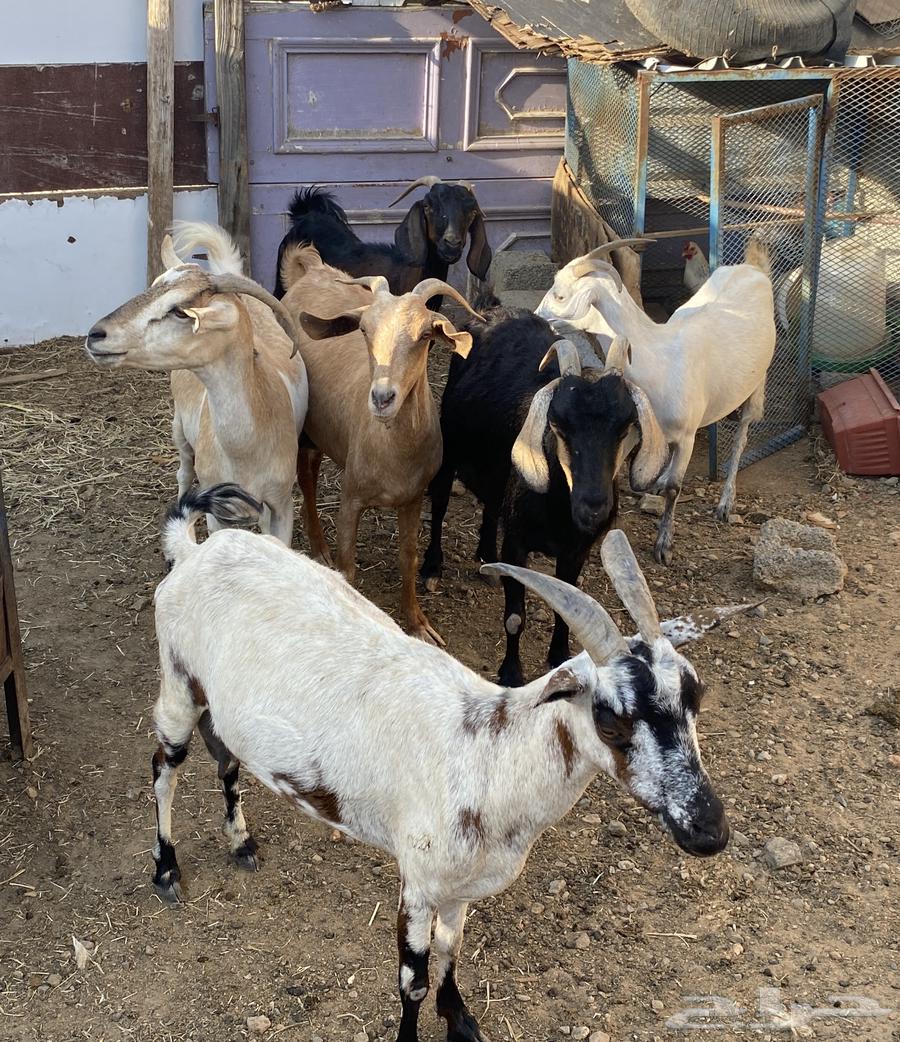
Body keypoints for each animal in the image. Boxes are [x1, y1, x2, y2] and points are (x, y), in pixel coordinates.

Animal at [85, 222, 308, 545]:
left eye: (179, 310)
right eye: (153, 286)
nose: (96, 335)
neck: (245, 448)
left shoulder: (281, 502)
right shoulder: (218, 508)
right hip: (179, 427)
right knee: (183, 473)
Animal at [151, 483, 731, 1042]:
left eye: (695, 695)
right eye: (610, 719)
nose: (710, 829)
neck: (489, 754)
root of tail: (194, 550)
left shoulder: (462, 887)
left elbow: (453, 947)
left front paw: (459, 1018)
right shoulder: (419, 881)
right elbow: (413, 980)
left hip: (220, 707)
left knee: (225, 758)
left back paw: (241, 843)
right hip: (177, 681)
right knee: (164, 767)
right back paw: (167, 870)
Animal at [280, 244, 481, 644]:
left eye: (425, 334)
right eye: (363, 329)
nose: (383, 398)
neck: (393, 453)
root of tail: (309, 271)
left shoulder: (414, 497)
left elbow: (408, 558)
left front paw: (418, 624)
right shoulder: (351, 497)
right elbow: (347, 568)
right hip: (304, 427)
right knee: (306, 480)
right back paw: (319, 549)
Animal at [421, 301, 667, 686]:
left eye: (626, 425)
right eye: (557, 423)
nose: (594, 507)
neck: (559, 513)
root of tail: (493, 311)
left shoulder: (577, 550)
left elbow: (568, 606)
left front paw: (559, 656)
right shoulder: (518, 542)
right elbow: (515, 617)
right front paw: (510, 672)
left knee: (492, 504)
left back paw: (486, 556)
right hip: (449, 446)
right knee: (442, 502)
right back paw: (432, 565)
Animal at [536, 237, 776, 565]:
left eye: (560, 295)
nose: (536, 316)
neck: (658, 359)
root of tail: (753, 268)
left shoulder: (687, 436)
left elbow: (675, 489)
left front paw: (664, 545)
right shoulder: (632, 429)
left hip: (757, 382)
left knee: (742, 434)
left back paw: (725, 503)